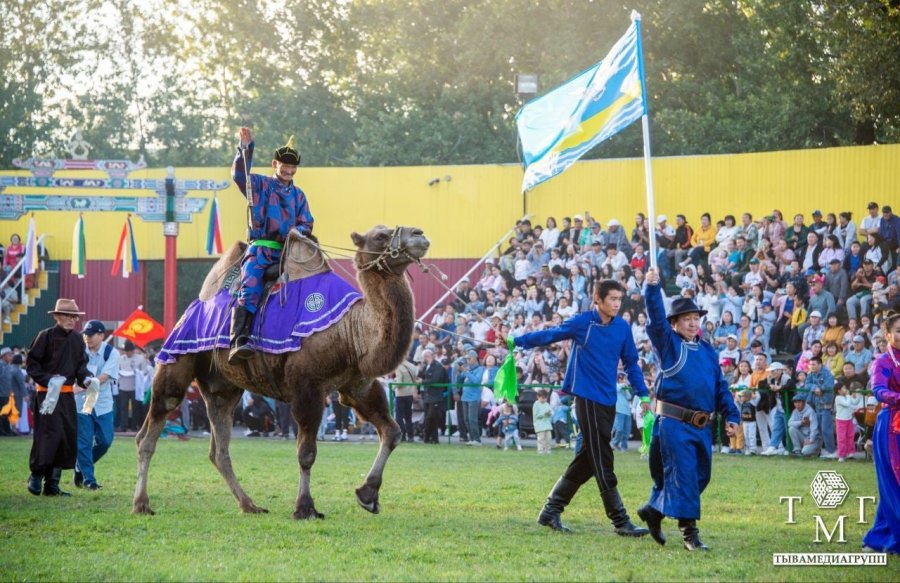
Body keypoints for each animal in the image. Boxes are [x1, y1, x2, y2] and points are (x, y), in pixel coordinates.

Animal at [132, 225, 430, 520]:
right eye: (380, 236)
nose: (419, 234)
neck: (348, 330)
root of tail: (193, 307)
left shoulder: (358, 386)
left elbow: (392, 433)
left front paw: (367, 494)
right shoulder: (306, 387)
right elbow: (306, 453)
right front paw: (305, 507)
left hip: (222, 388)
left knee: (219, 449)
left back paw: (249, 505)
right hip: (177, 359)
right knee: (150, 431)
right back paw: (141, 504)